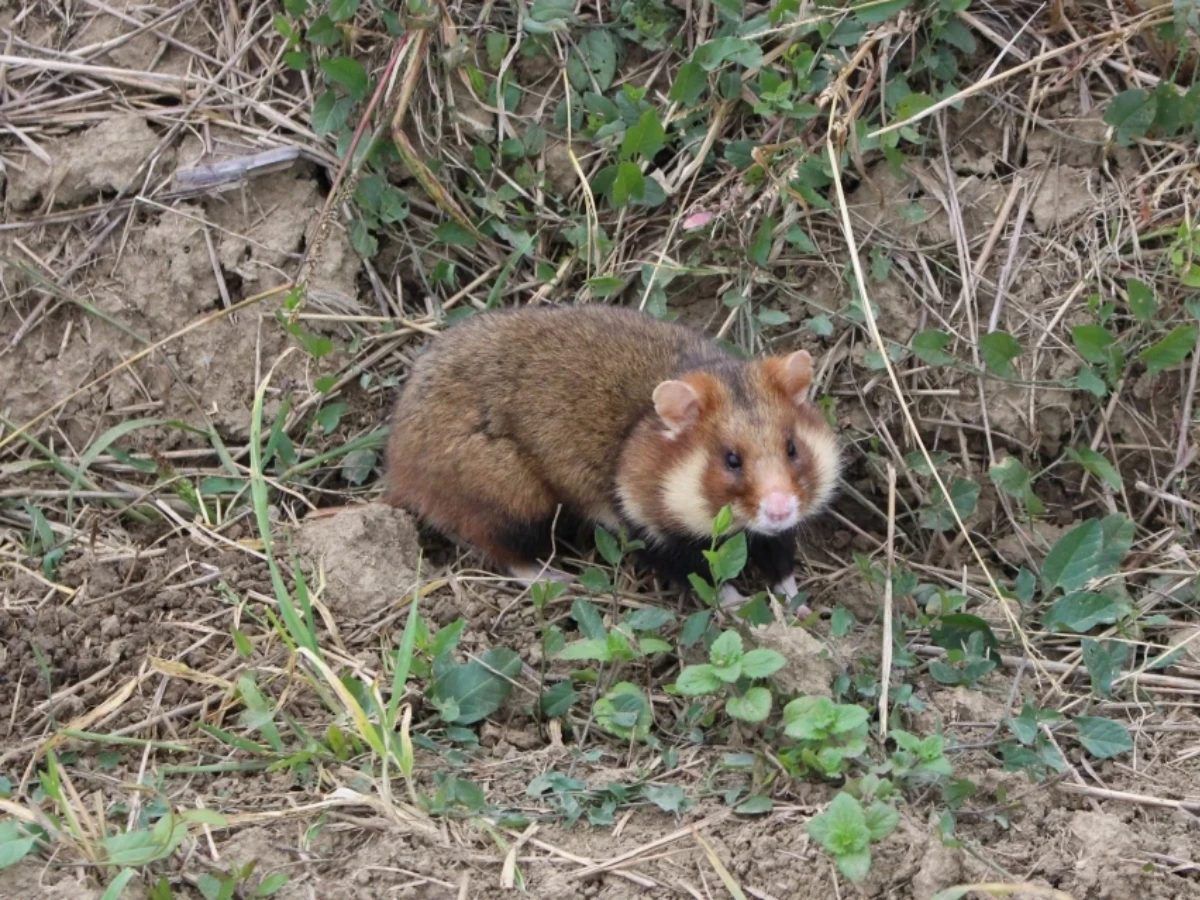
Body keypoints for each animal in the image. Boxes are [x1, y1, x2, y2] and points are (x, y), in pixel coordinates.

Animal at [386, 307, 844, 602]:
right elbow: (703, 578)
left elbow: (781, 560)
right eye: (731, 460)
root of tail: (396, 465)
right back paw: (557, 578)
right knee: (506, 552)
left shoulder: (774, 536)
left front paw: (794, 600)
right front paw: (739, 605)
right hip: (511, 498)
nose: (780, 509)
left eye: (792, 447)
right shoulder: (651, 534)